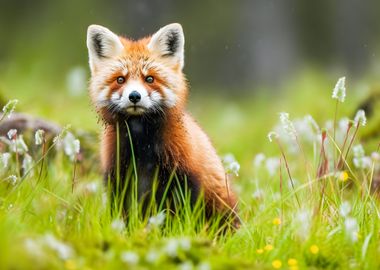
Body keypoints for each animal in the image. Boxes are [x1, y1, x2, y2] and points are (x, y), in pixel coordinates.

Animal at [87, 22, 238, 224]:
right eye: (120, 79)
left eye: (149, 79)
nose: (134, 96)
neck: (142, 145)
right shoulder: (117, 175)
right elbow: (121, 215)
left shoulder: (184, 177)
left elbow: (181, 219)